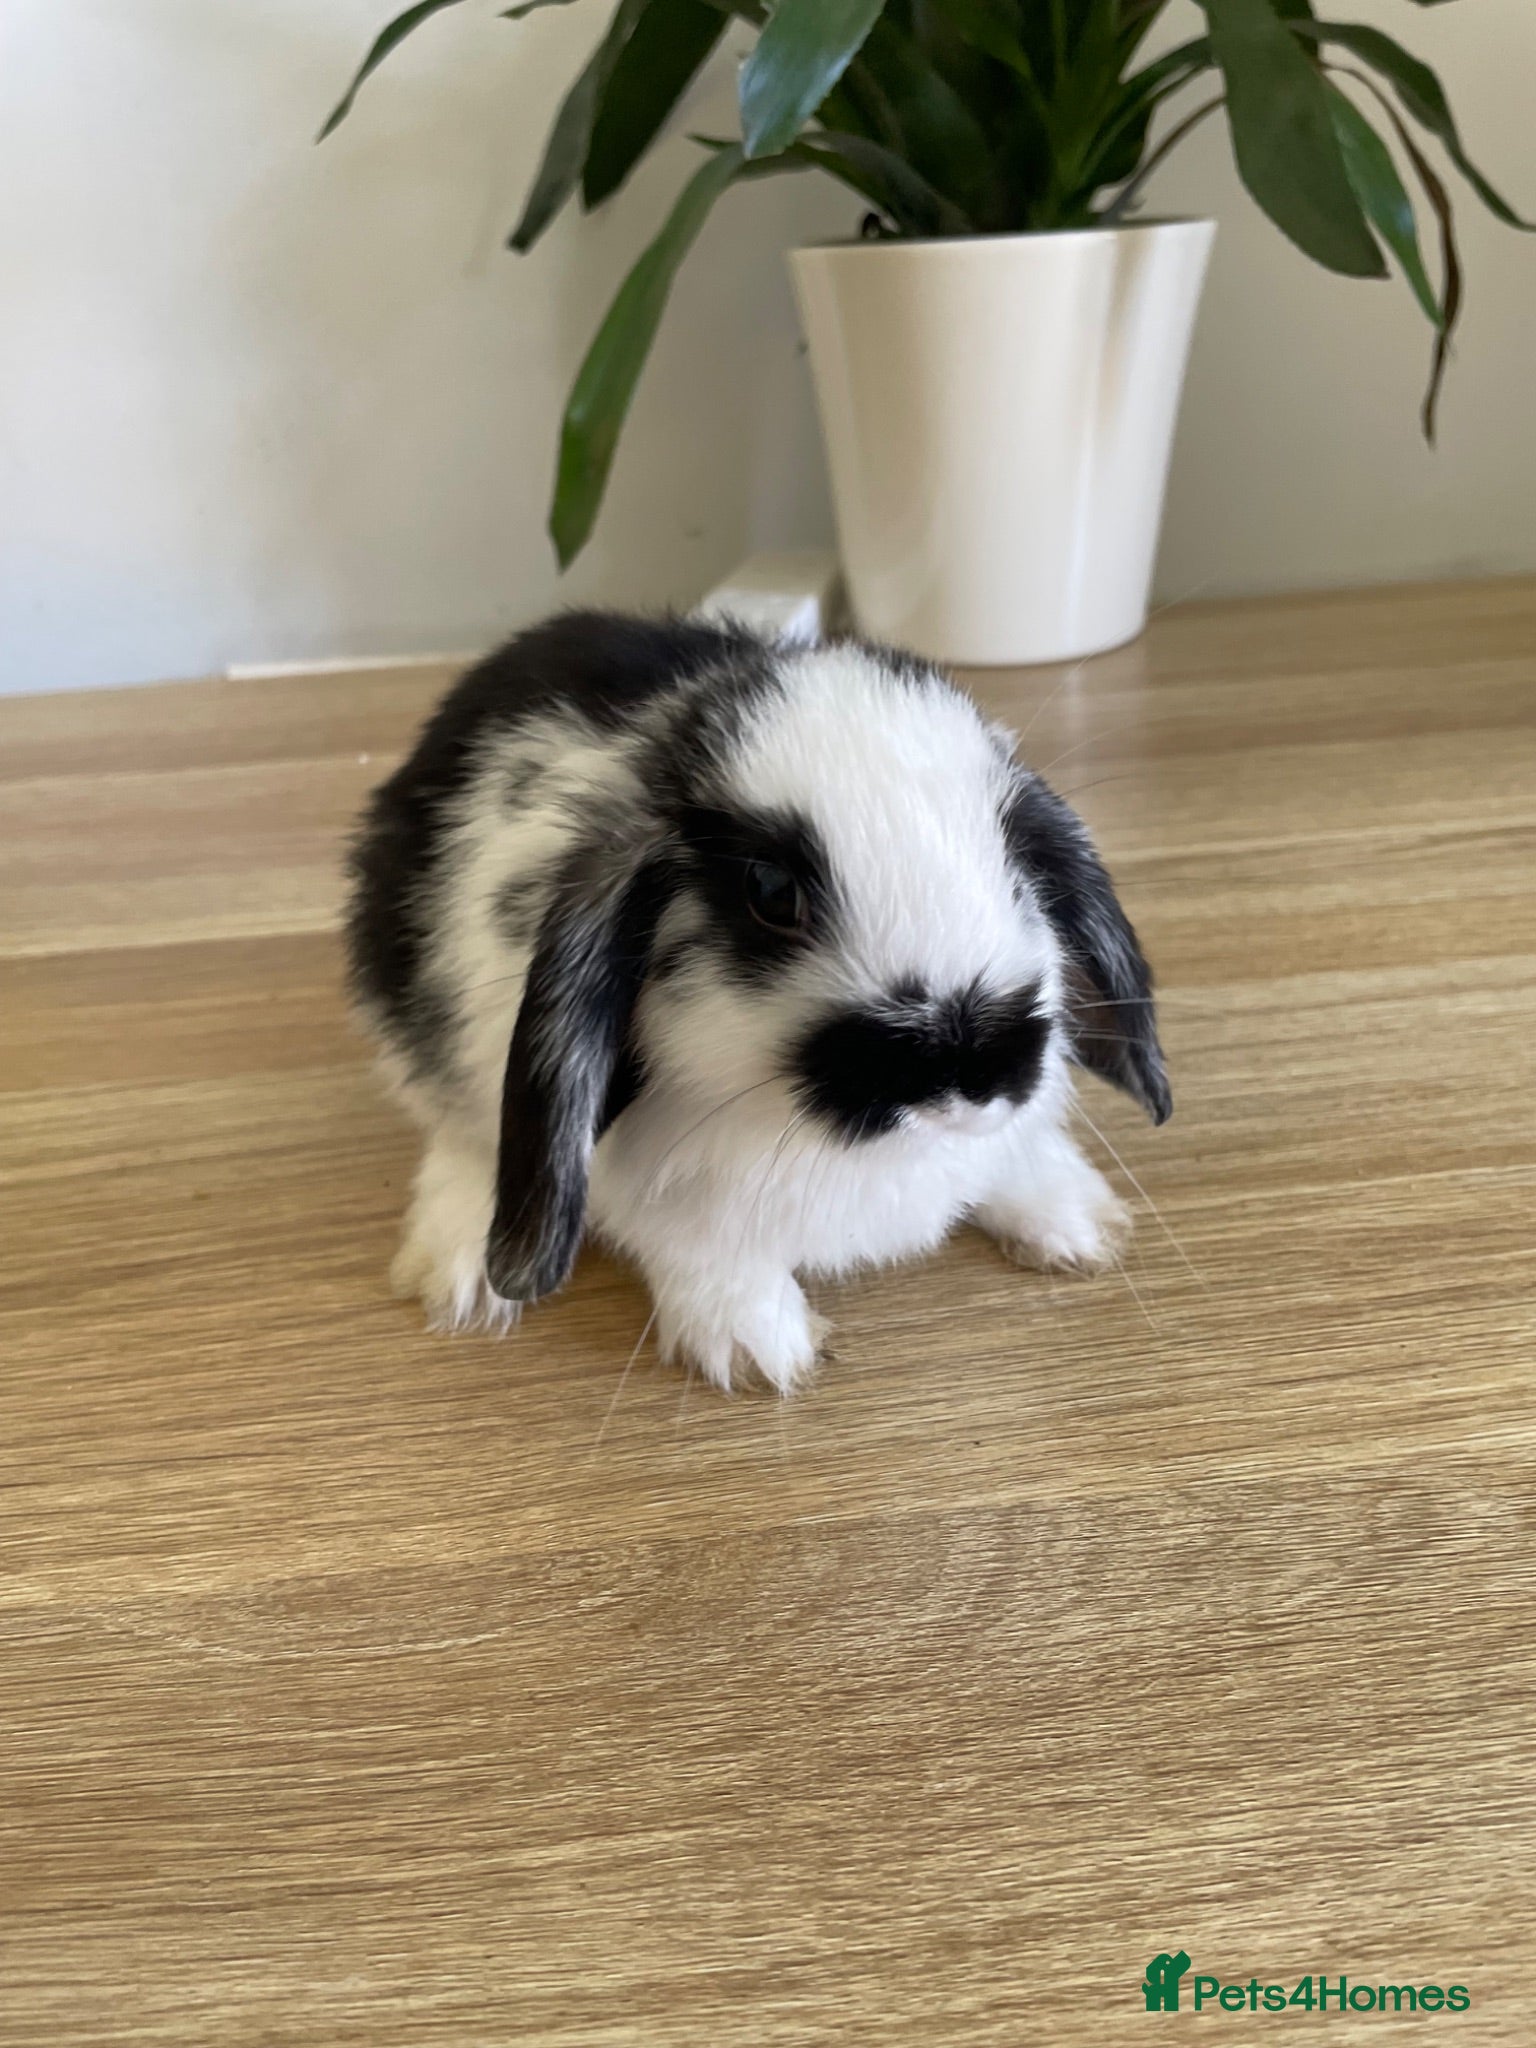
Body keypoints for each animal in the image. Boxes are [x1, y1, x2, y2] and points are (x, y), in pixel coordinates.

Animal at [345, 609, 1170, 1392]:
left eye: (1017, 867)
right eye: (771, 893)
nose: (976, 1075)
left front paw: (1082, 1223)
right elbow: (700, 1246)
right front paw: (753, 1345)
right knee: (456, 1132)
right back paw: (461, 1275)